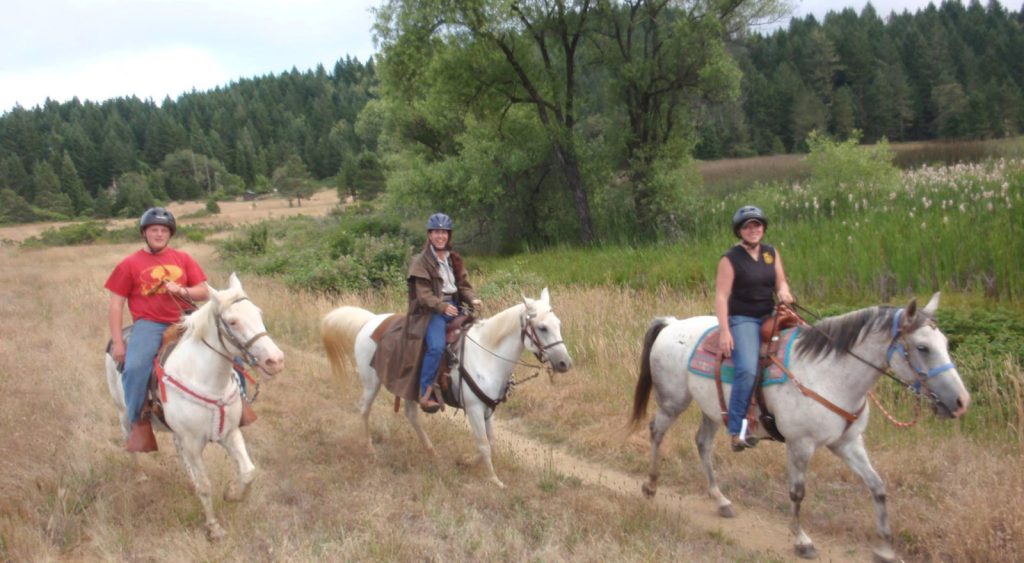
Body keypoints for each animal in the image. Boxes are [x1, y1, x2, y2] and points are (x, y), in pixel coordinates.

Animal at [105, 274, 284, 544]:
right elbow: (206, 486)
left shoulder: (230, 434)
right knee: (130, 441)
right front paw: (214, 528)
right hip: (123, 413)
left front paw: (232, 494)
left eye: (258, 313)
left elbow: (248, 472)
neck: (207, 378)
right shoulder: (193, 443)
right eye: (233, 321)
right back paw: (139, 475)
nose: (275, 360)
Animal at [321, 288, 573, 487]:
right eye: (542, 327)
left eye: (559, 325)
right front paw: (494, 480)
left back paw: (431, 451)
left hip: (409, 387)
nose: (565, 363)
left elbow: (489, 442)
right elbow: (484, 444)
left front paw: (466, 462)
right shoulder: (473, 408)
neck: (486, 354)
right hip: (371, 382)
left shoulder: (488, 409)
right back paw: (370, 448)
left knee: (411, 415)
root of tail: (371, 322)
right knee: (364, 409)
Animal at [626, 292, 970, 560]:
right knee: (657, 431)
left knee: (702, 443)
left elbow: (878, 487)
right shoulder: (800, 444)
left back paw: (720, 499)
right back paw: (650, 486)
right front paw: (802, 540)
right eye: (923, 347)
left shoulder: (848, 443)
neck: (829, 374)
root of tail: (673, 324)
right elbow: (797, 492)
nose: (961, 401)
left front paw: (885, 548)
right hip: (673, 401)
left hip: (712, 409)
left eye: (944, 342)